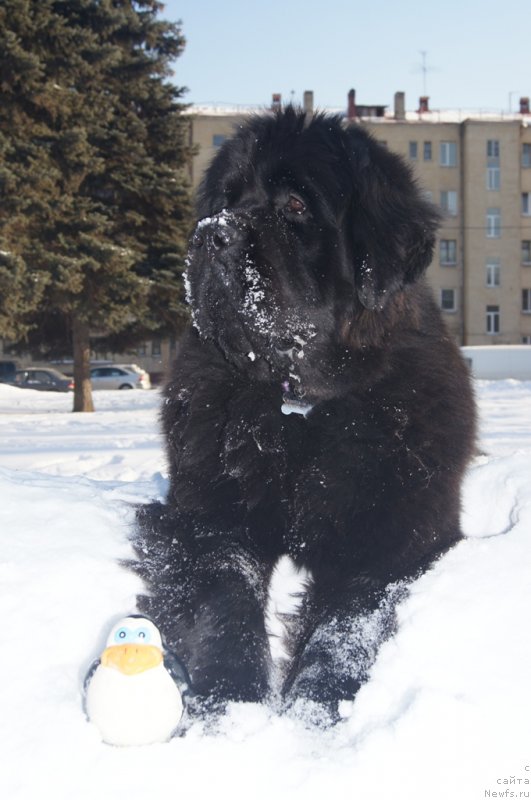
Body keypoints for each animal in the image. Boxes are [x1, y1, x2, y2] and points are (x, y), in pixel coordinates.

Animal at [135, 108, 476, 724]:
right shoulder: (211, 513)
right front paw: (231, 701)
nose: (211, 234)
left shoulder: (397, 530)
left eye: (295, 205)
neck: (300, 405)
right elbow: (227, 594)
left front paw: (313, 711)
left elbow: (347, 622)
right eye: (227, 197)